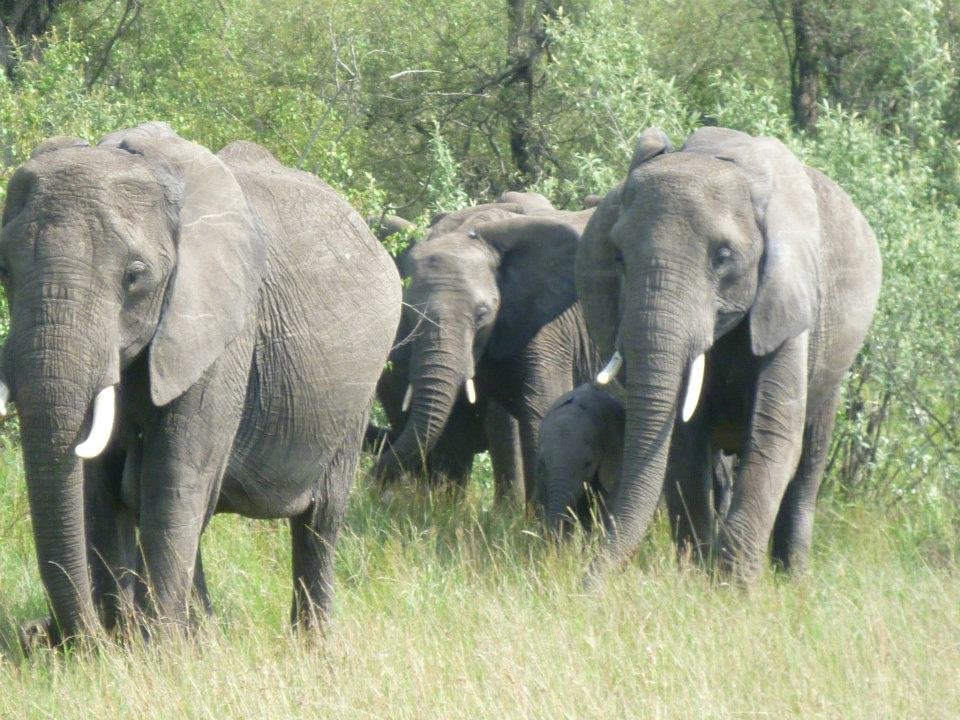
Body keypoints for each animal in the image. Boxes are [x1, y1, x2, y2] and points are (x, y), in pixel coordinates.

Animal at [0, 122, 401, 643]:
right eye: (4, 271)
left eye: (135, 277)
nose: (69, 638)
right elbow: (102, 489)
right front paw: (124, 642)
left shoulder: (221, 329)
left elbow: (174, 480)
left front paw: (158, 647)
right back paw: (204, 631)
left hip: (357, 395)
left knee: (320, 522)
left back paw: (309, 644)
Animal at [576, 126, 881, 582]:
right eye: (618, 257)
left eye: (722, 257)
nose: (584, 585)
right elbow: (683, 447)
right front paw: (695, 578)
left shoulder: (789, 300)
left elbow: (773, 436)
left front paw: (733, 587)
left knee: (809, 459)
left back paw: (793, 578)